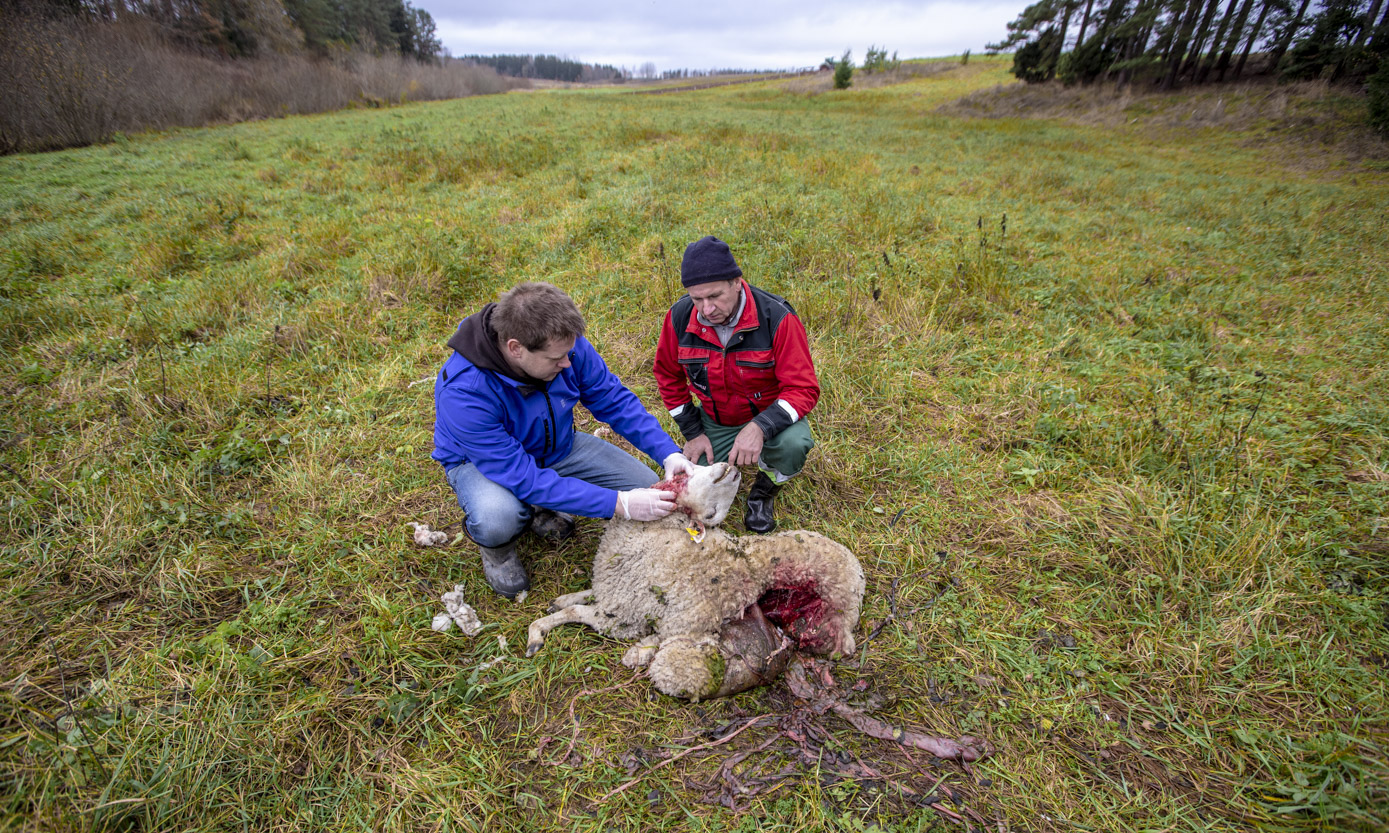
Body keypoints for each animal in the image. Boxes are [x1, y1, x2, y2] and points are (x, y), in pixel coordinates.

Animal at [525, 460, 861, 702]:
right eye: (694, 469)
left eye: (712, 514)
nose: (734, 470)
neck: (655, 537)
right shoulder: (614, 592)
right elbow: (584, 595)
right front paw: (561, 599)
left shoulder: (621, 616)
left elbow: (573, 613)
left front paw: (536, 633)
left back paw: (639, 653)